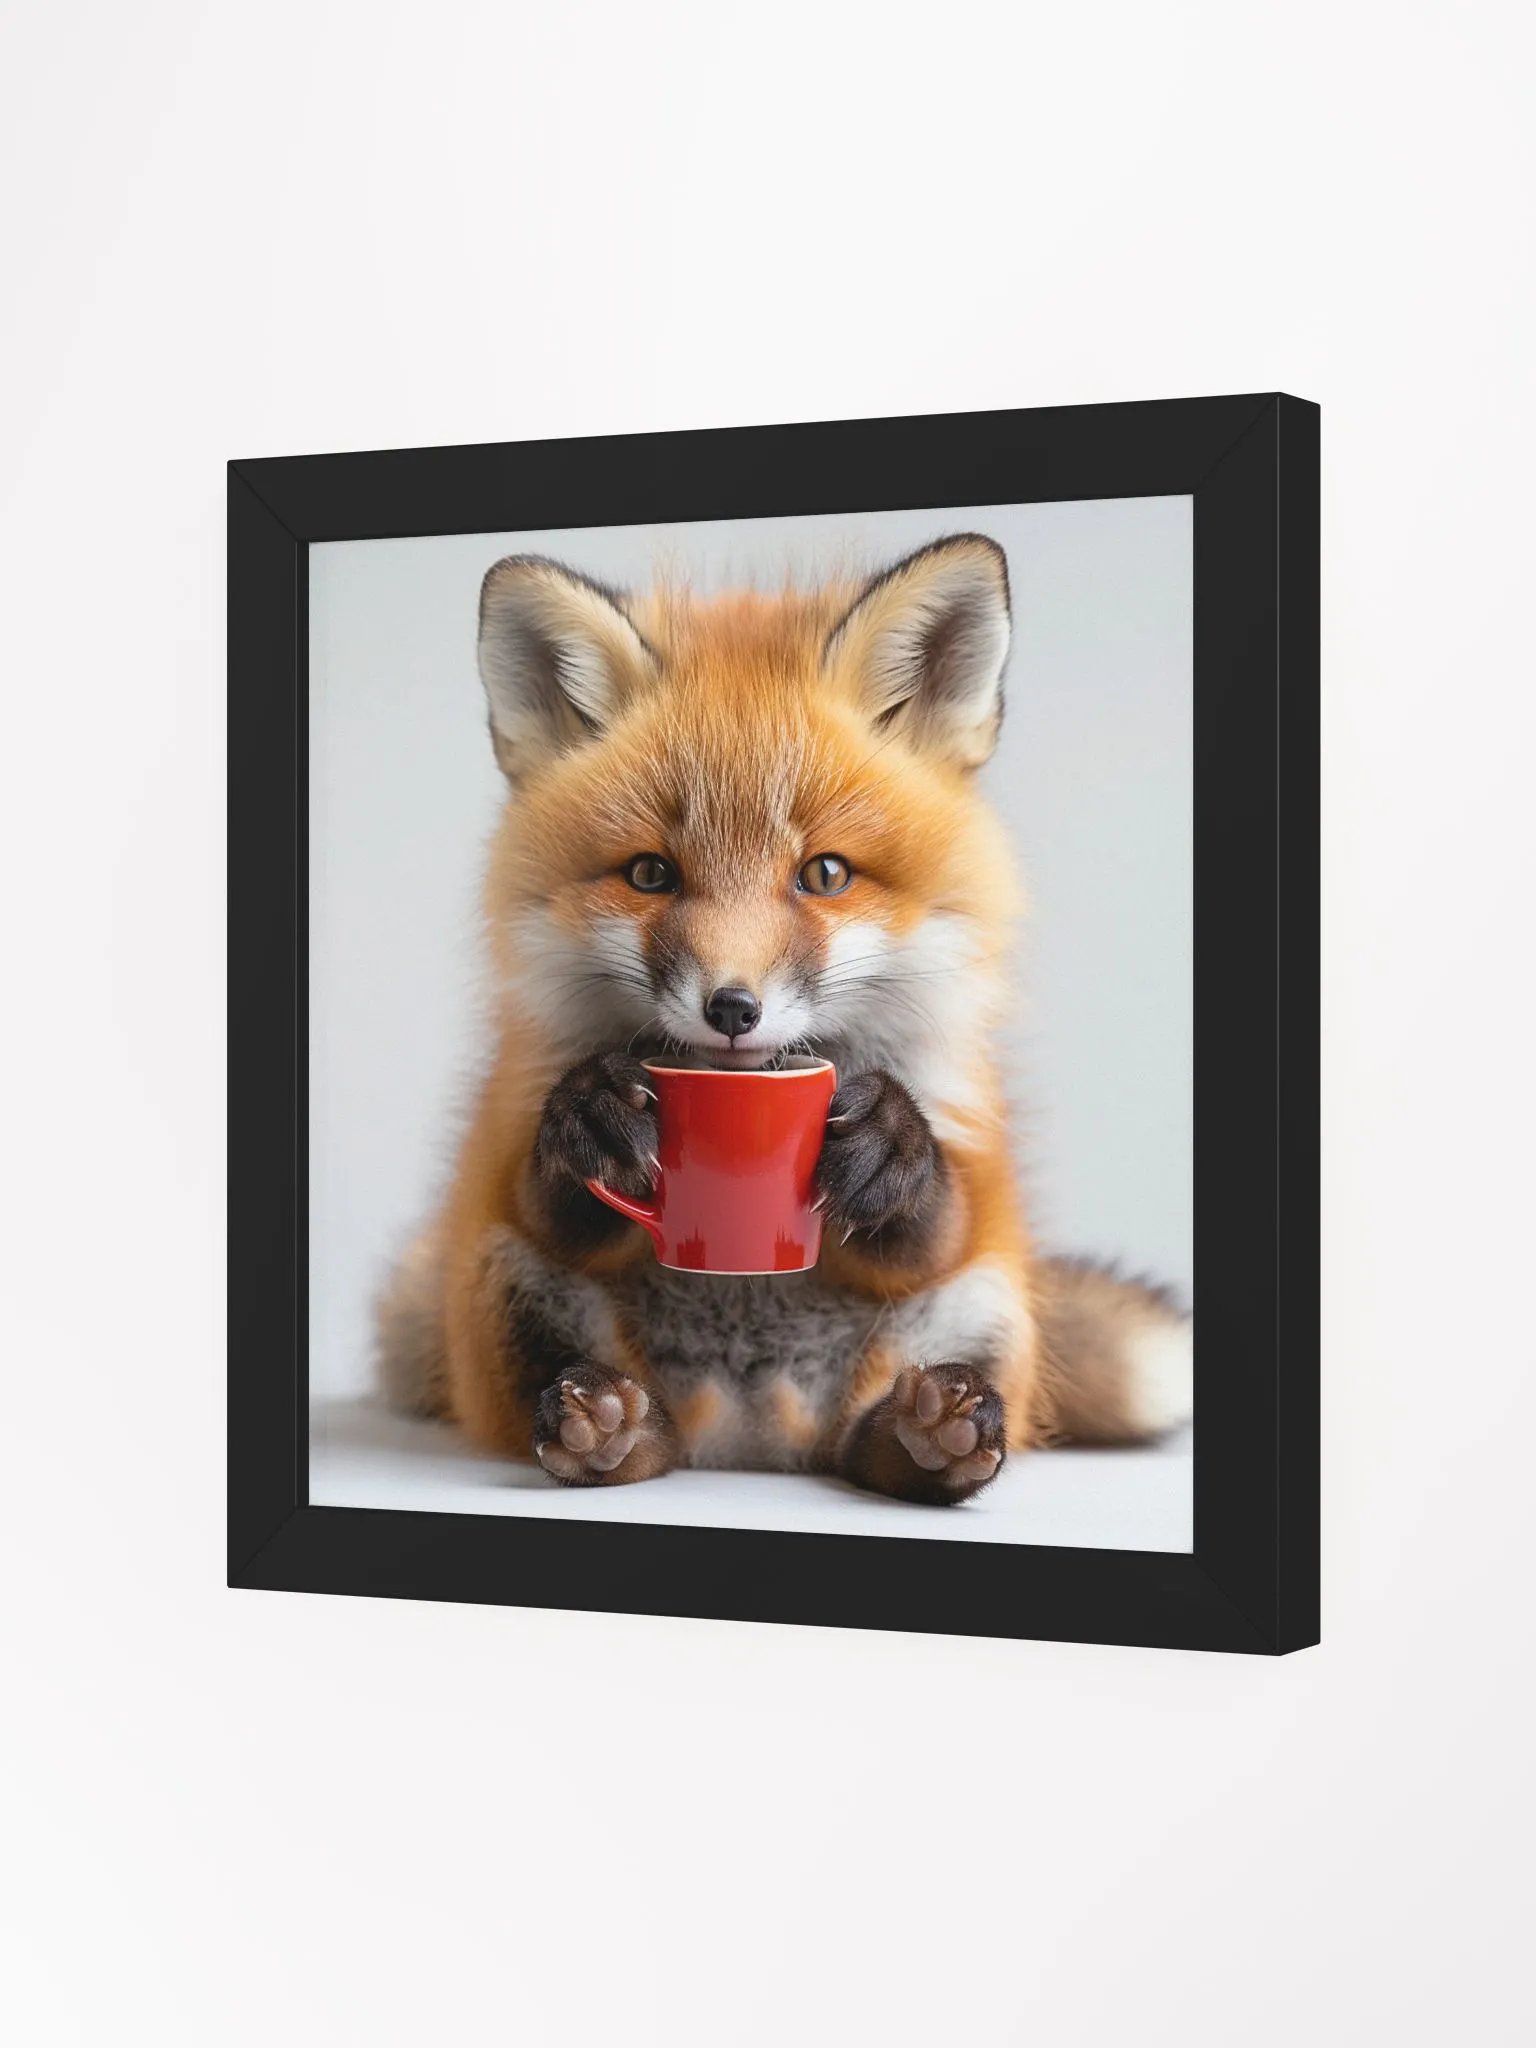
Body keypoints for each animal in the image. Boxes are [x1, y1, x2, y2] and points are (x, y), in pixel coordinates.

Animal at [375, 533, 1192, 1504]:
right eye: (649, 874)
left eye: (825, 874)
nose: (732, 1006)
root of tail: (751, 1437)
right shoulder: (513, 1148)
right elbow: (551, 1199)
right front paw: (593, 1115)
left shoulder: (961, 1146)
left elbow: (931, 1226)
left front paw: (889, 1142)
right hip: (500, 1283)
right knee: (611, 1420)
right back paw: (608, 1430)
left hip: (988, 1298)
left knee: (878, 1443)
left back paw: (929, 1440)